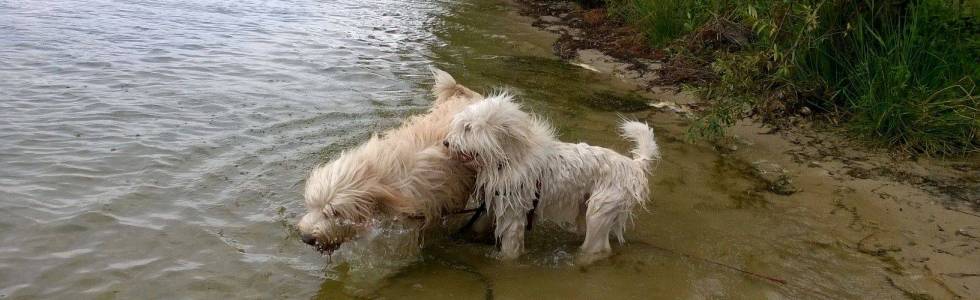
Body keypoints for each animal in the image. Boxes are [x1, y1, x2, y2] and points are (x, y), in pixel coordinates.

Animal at [442, 92, 660, 264]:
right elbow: (479, 224)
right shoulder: (496, 202)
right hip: (586, 208)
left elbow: (510, 248)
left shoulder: (514, 214)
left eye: (468, 128)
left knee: (599, 249)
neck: (511, 158)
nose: (446, 142)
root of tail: (634, 165)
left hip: (599, 211)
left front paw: (505, 262)